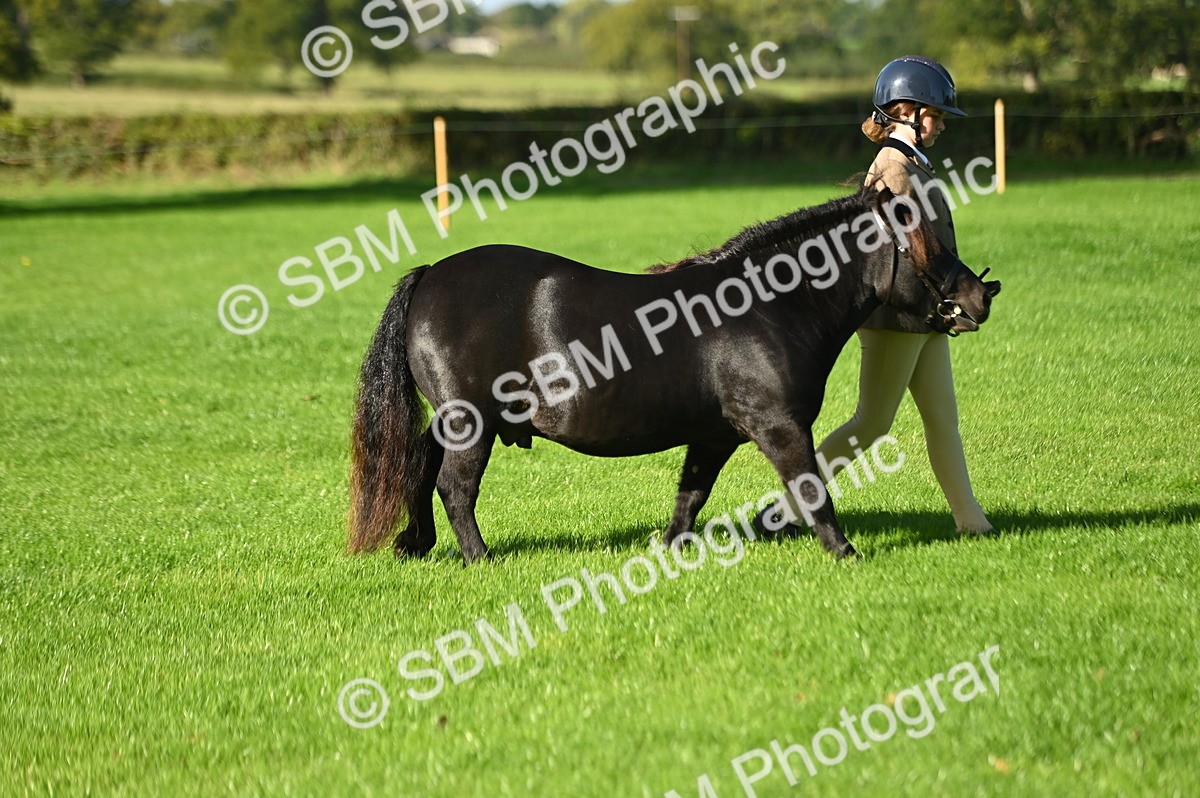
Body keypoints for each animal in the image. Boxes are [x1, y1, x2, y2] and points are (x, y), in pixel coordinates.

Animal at [348, 186, 997, 564]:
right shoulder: (780, 427)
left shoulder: (713, 437)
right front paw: (845, 552)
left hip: (453, 423)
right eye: (930, 244)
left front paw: (669, 553)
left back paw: (416, 544)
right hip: (471, 424)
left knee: (420, 465)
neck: (765, 307)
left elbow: (691, 497)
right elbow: (813, 489)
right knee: (454, 487)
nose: (980, 295)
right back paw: (479, 557)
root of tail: (431, 274)